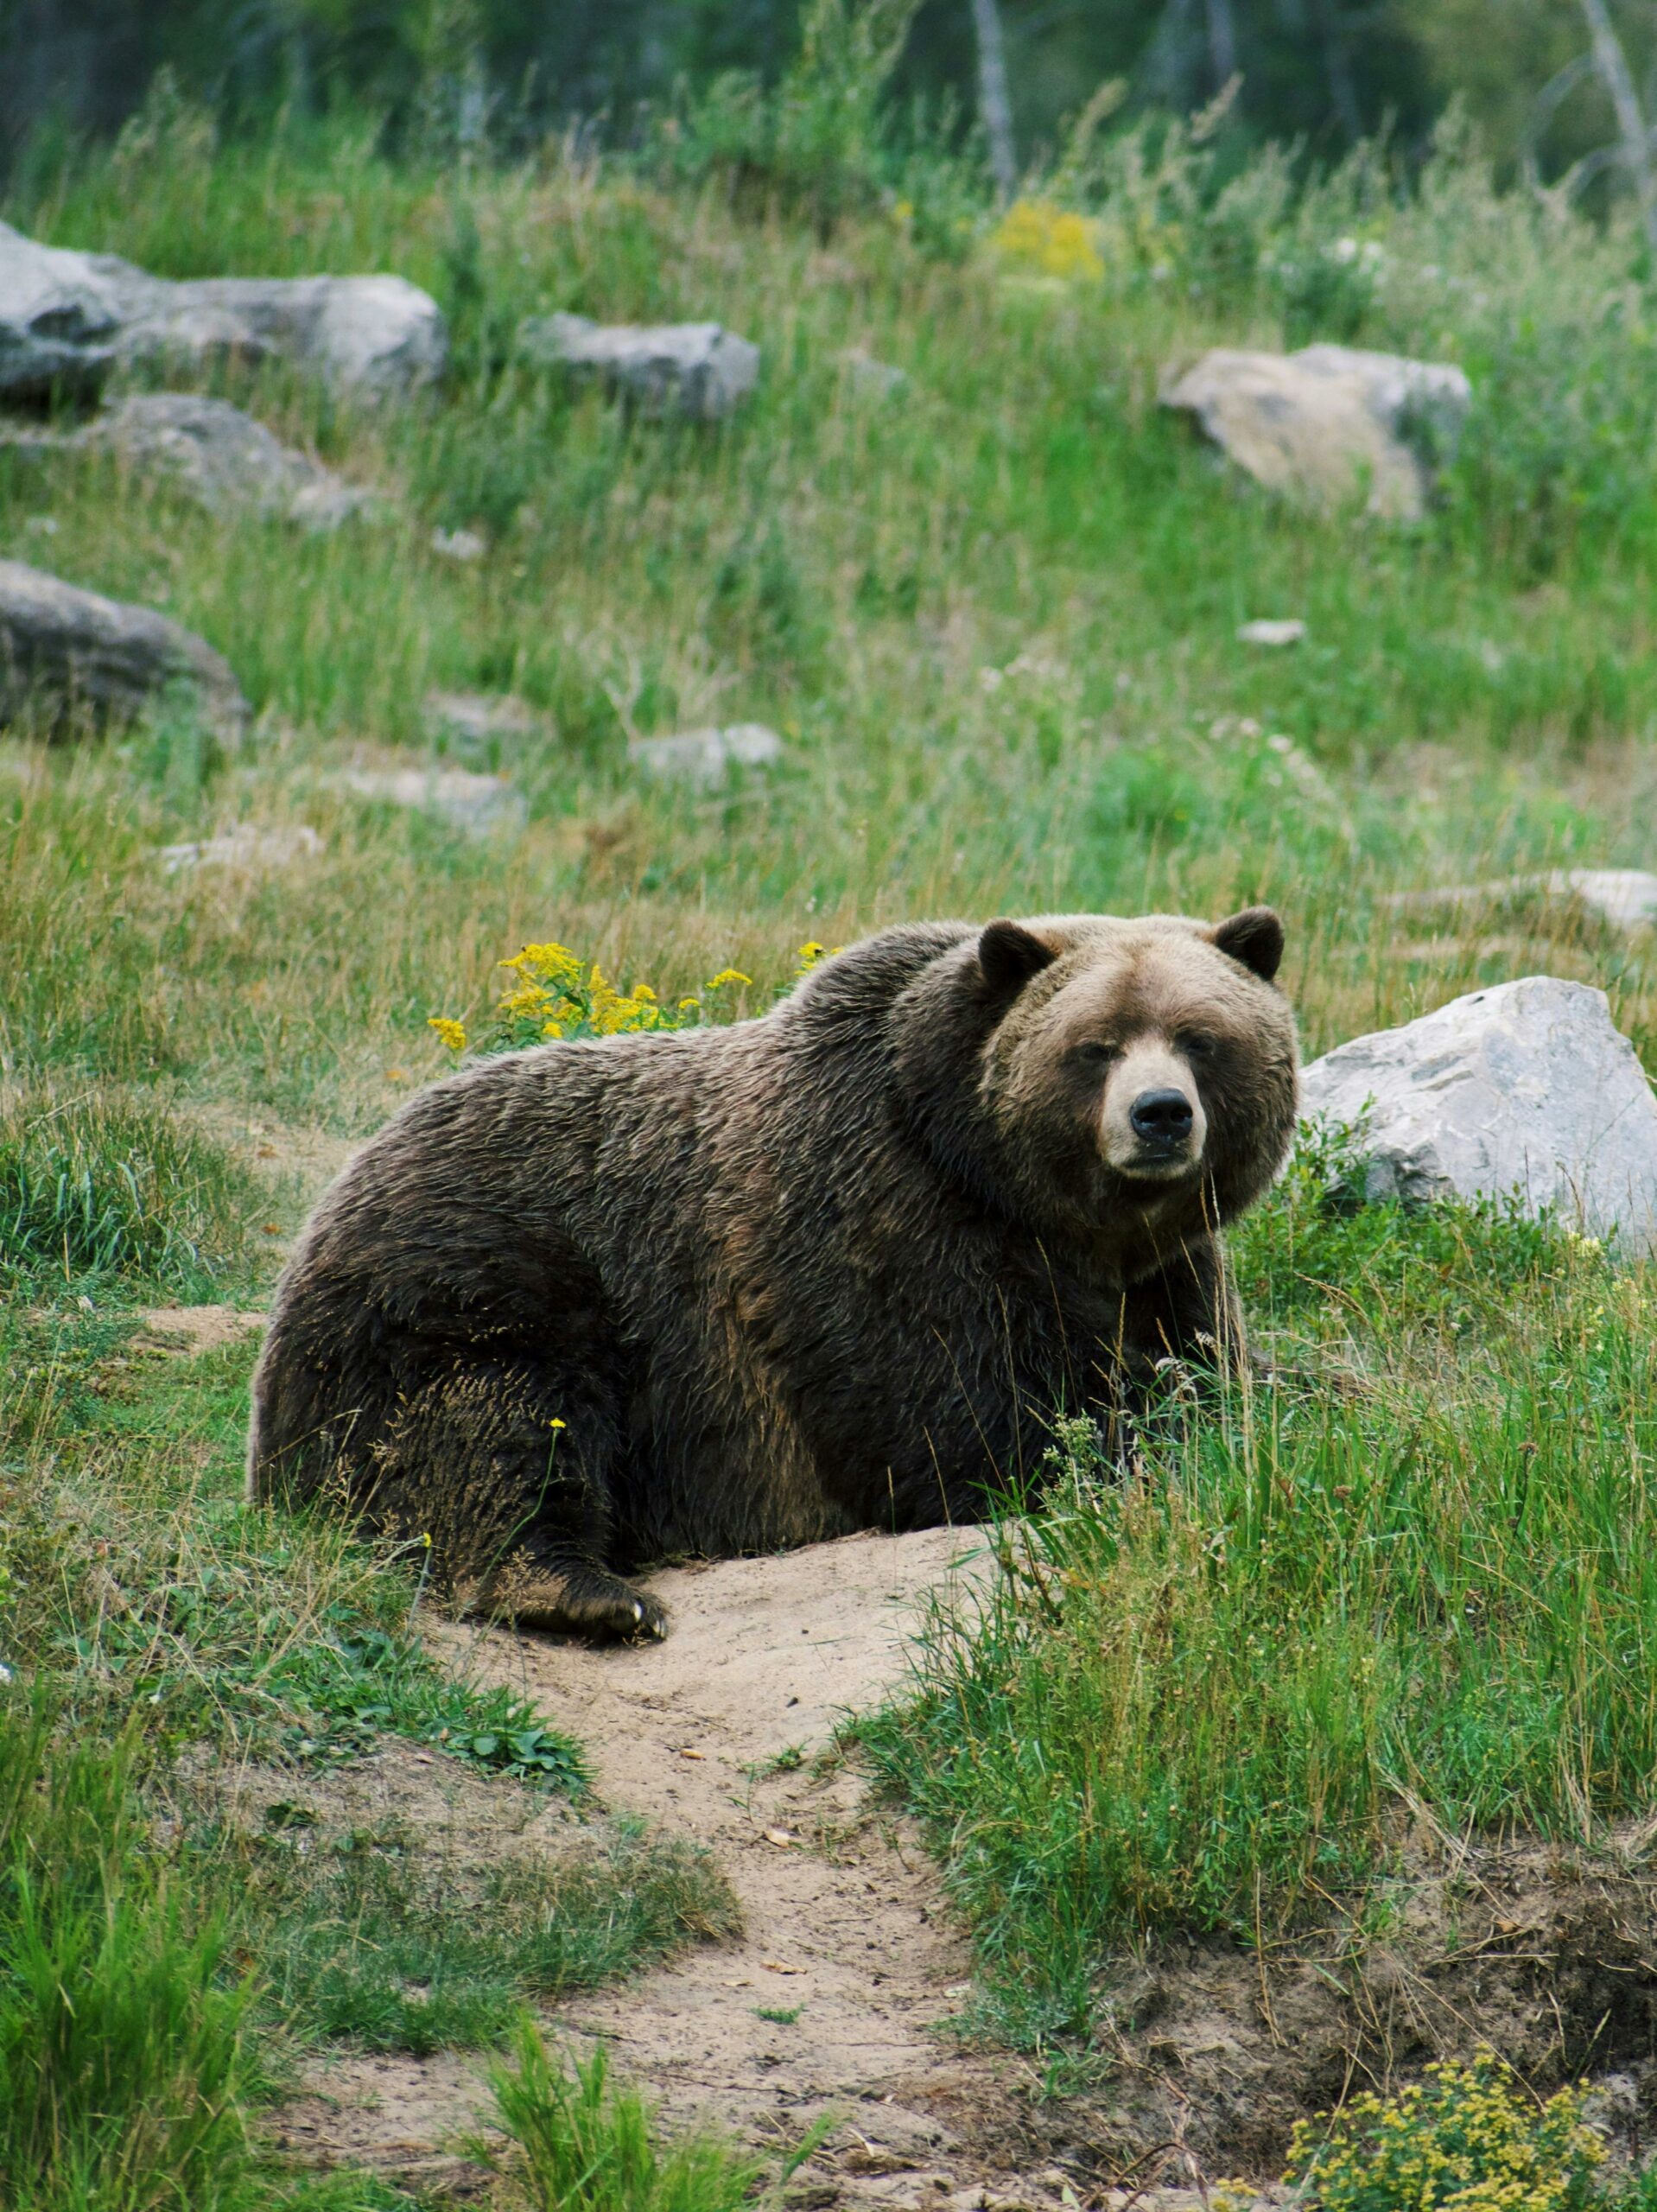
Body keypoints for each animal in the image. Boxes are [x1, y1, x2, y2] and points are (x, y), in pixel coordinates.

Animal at [245, 902, 1292, 1645]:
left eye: (1202, 1036)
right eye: (1095, 1045)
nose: (1160, 1115)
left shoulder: (1168, 1273)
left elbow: (1206, 1373)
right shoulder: (879, 1220)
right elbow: (957, 1422)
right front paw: (1109, 1446)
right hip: (472, 1279)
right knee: (493, 1429)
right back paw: (592, 1594)